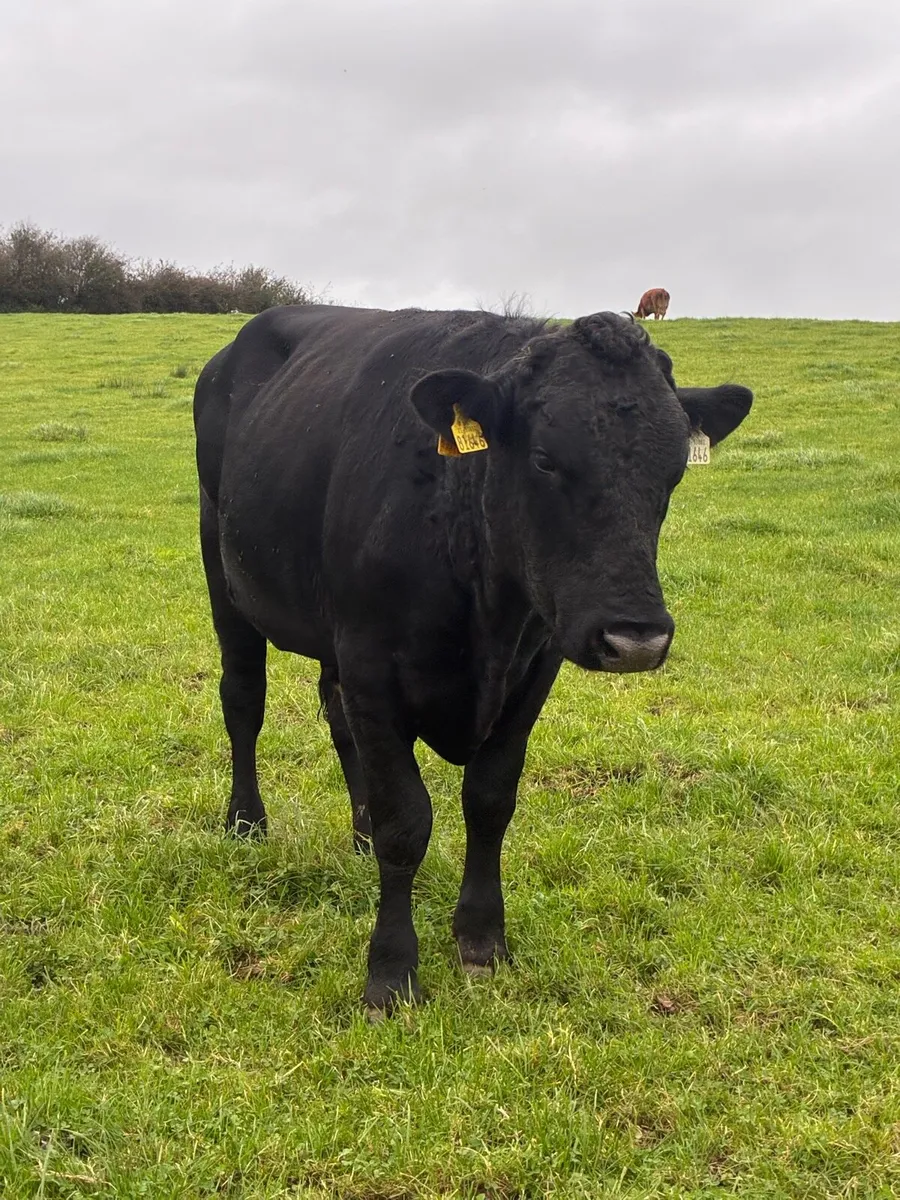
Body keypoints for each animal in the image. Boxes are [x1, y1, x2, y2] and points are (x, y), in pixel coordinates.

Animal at [193, 305, 752, 1016]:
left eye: (674, 470)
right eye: (544, 459)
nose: (636, 639)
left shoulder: (533, 666)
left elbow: (489, 801)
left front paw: (483, 941)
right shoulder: (373, 666)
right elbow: (407, 820)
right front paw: (391, 973)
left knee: (335, 716)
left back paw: (359, 832)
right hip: (224, 571)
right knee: (243, 699)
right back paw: (245, 822)